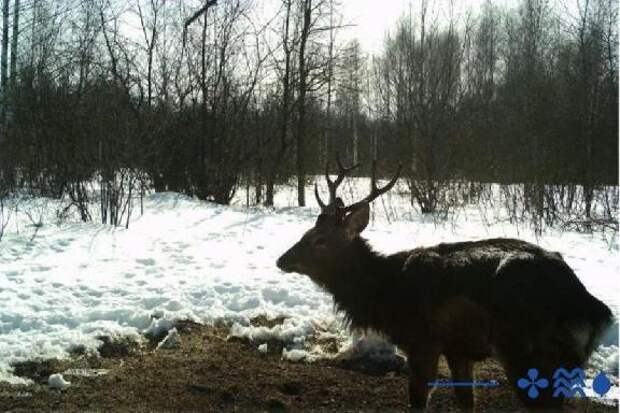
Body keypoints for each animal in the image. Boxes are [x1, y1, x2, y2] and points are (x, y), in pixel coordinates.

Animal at [278, 156, 616, 410]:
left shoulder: (422, 339)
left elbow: (418, 399)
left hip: (525, 348)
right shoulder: (458, 347)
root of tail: (589, 306)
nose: (282, 260)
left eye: (320, 240)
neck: (385, 294)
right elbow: (466, 400)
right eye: (307, 233)